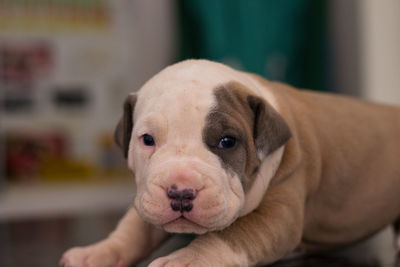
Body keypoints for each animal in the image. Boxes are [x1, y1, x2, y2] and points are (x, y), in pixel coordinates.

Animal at [60, 59, 400, 266]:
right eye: (147, 139)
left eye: (227, 142)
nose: (180, 192)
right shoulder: (148, 194)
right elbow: (133, 229)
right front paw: (97, 253)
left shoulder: (279, 215)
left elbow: (228, 236)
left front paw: (186, 260)